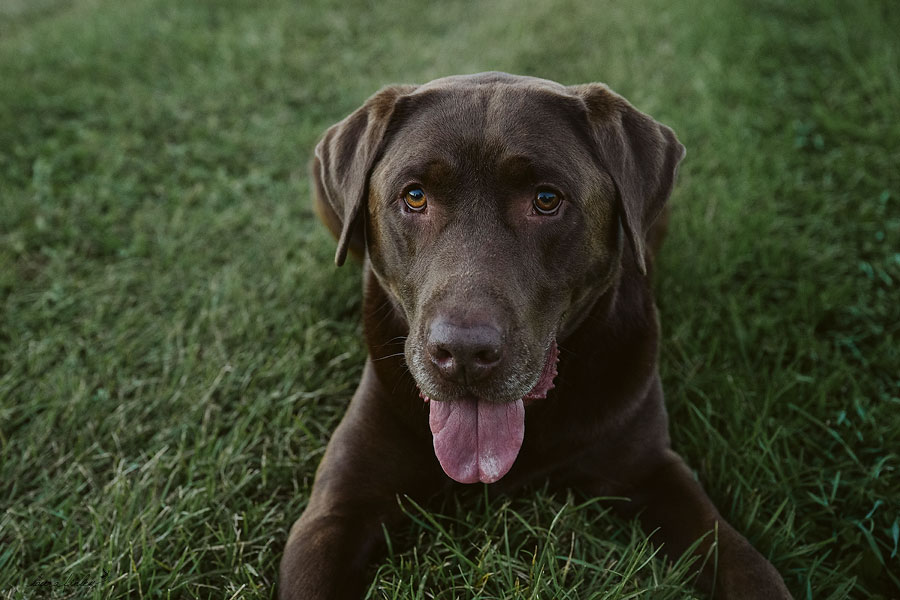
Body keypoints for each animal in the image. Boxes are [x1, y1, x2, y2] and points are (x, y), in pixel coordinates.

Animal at [279, 72, 791, 599]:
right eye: (415, 196)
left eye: (546, 200)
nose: (463, 352)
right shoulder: (338, 509)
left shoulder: (652, 468)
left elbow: (743, 562)